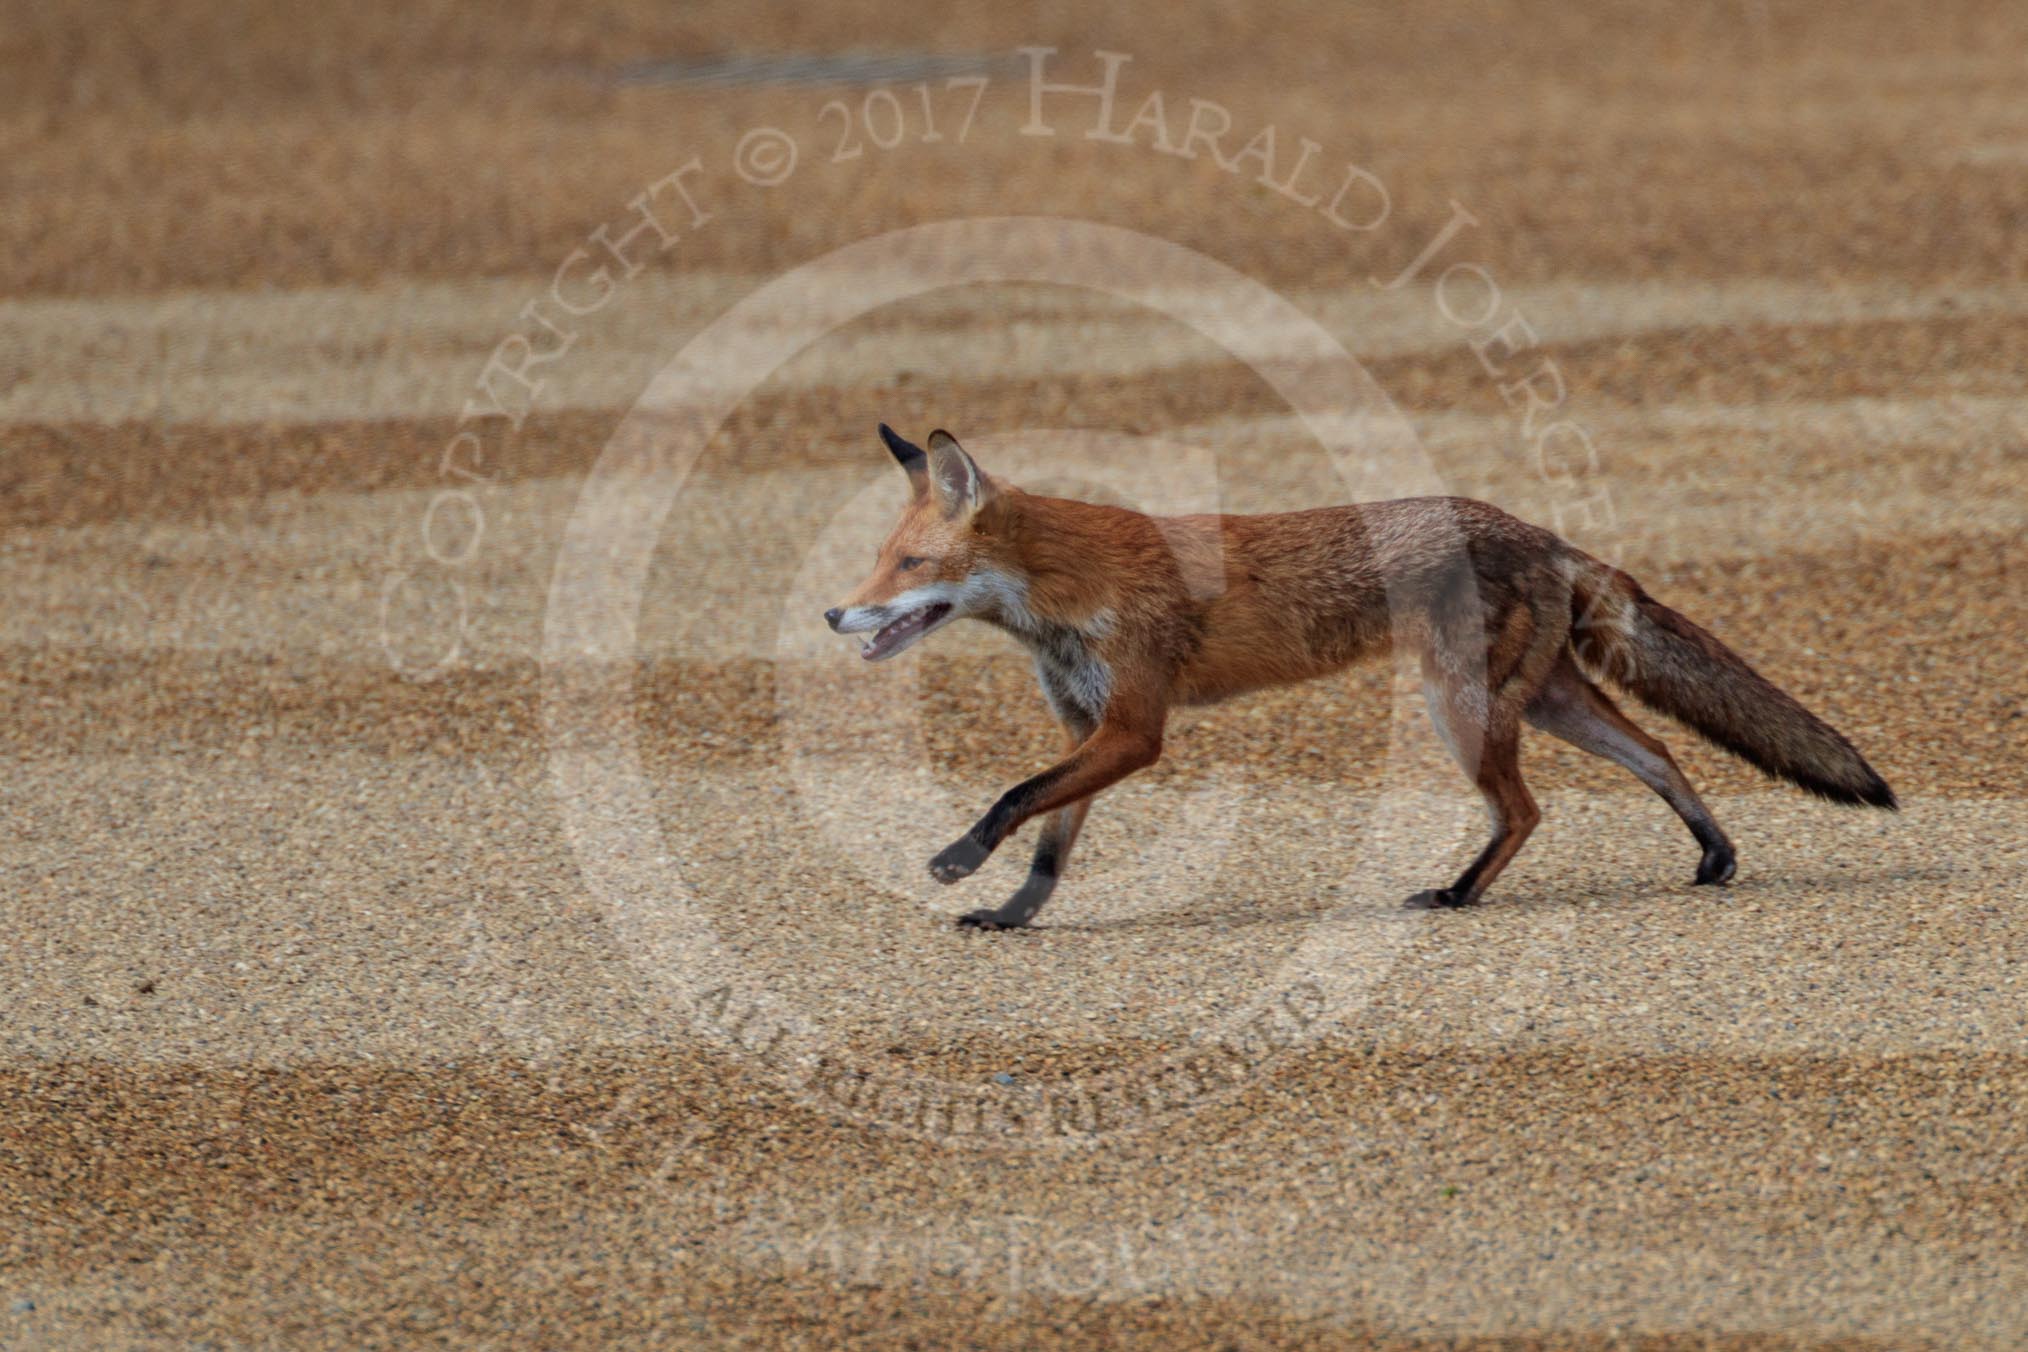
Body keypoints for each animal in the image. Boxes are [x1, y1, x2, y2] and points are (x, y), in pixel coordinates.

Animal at [815, 425, 1890, 932]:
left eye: (909, 566)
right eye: (879, 560)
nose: (831, 614)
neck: (1067, 592)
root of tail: (1538, 530)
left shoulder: (1133, 729)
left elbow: (1011, 797)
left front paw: (956, 861)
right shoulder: (1088, 728)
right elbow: (1050, 841)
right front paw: (1010, 915)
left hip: (1461, 706)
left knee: (1527, 809)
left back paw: (1457, 895)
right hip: (1539, 699)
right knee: (1659, 748)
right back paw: (1714, 854)